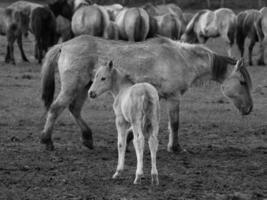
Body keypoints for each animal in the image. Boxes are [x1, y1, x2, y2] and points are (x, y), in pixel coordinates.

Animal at [39, 35, 253, 153]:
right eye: (242, 82)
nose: (250, 108)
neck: (182, 58)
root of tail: (63, 45)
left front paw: (129, 139)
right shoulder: (174, 97)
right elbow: (175, 124)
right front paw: (175, 147)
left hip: (86, 88)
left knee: (74, 109)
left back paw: (87, 138)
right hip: (73, 87)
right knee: (56, 109)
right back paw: (47, 141)